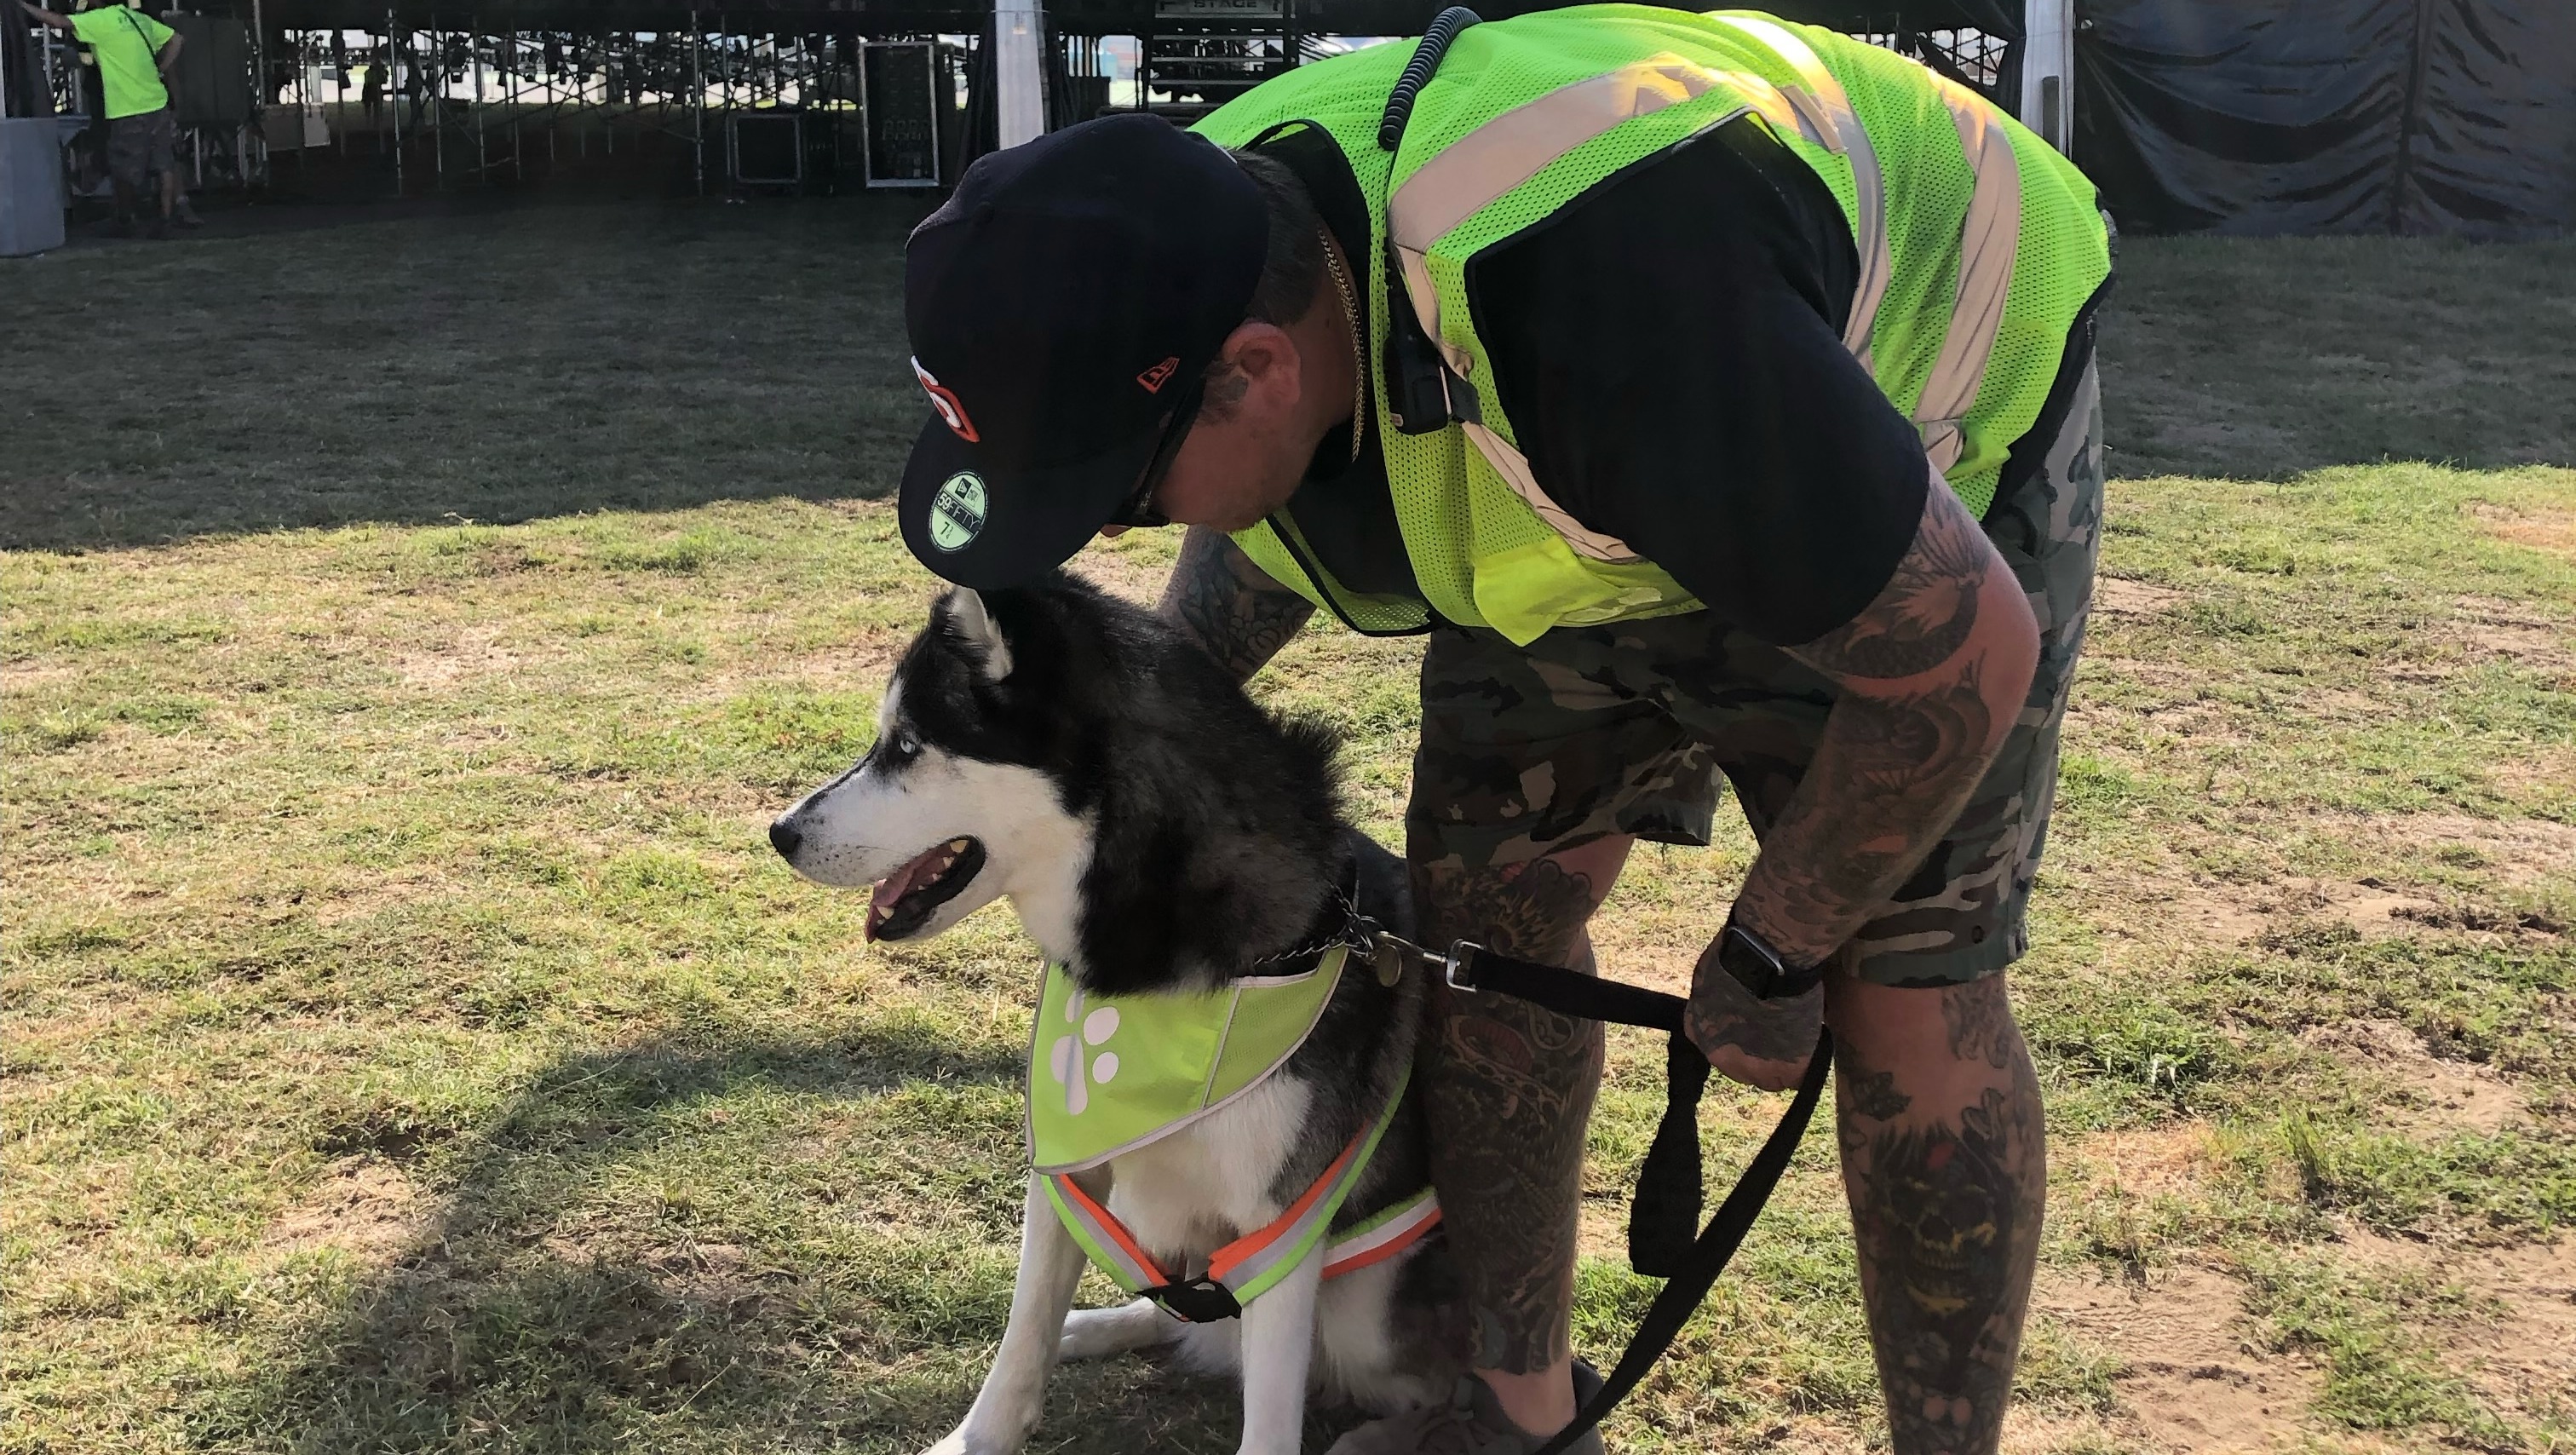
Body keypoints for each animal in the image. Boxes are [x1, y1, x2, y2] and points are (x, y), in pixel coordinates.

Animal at [770, 575, 1466, 1455]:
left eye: (906, 746)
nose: (779, 832)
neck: (1148, 986)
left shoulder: (1283, 1230)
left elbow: (1272, 1413)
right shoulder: (1067, 1162)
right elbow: (1025, 1329)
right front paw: (980, 1435)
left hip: (1369, 1309)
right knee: (1189, 1313)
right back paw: (1095, 1327)